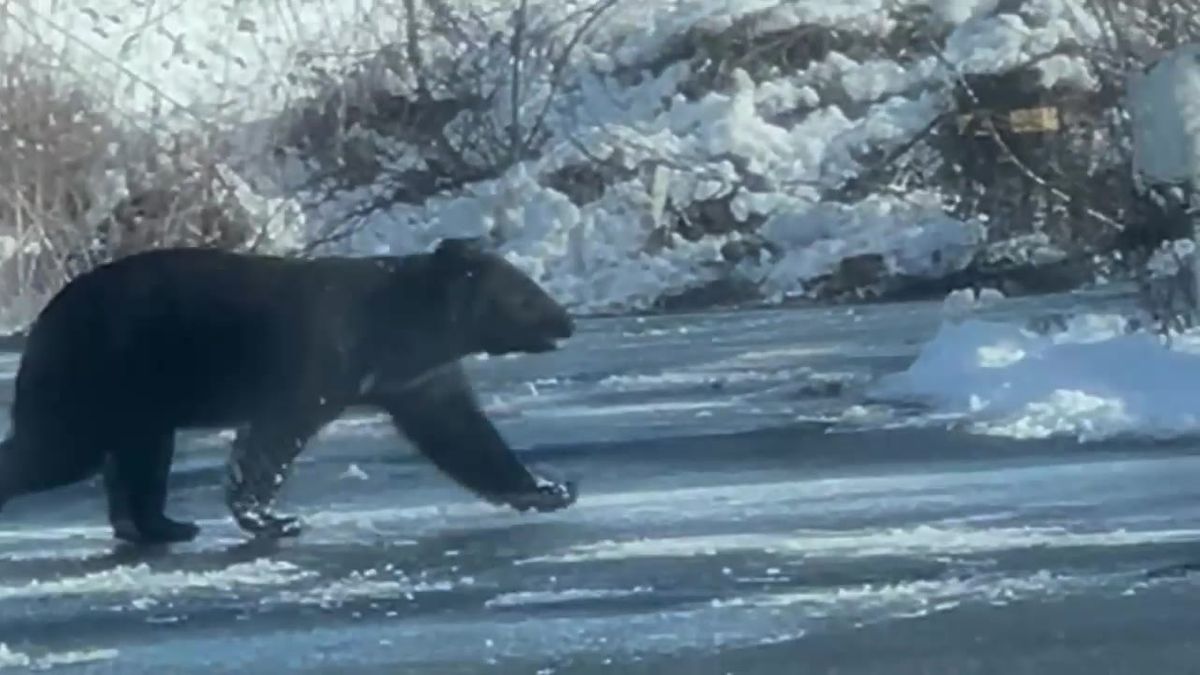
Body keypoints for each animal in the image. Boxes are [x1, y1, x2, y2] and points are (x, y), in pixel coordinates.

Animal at [0, 236, 580, 540]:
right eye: (526, 295)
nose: (567, 321)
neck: (391, 329)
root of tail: (43, 321)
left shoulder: (418, 379)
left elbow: (463, 435)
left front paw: (549, 488)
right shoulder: (318, 358)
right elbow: (272, 438)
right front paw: (273, 518)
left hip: (139, 393)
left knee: (140, 456)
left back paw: (165, 524)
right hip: (100, 373)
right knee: (57, 450)